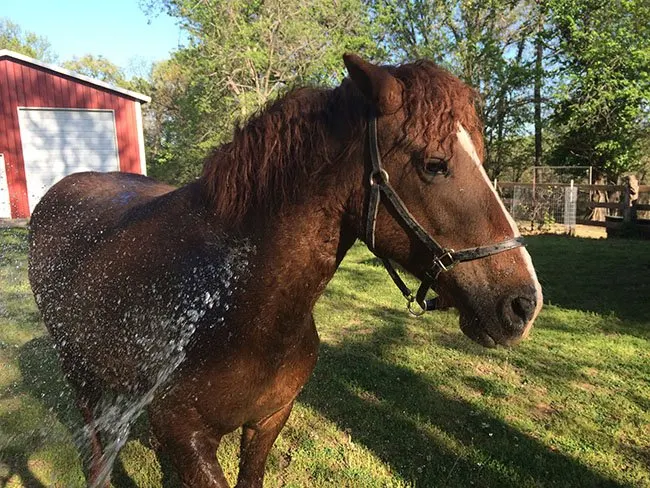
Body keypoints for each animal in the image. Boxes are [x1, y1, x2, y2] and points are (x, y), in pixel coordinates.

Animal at [27, 54, 540, 488]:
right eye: (435, 164)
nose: (524, 304)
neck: (238, 303)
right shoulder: (185, 438)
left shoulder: (269, 419)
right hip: (77, 370)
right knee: (94, 440)